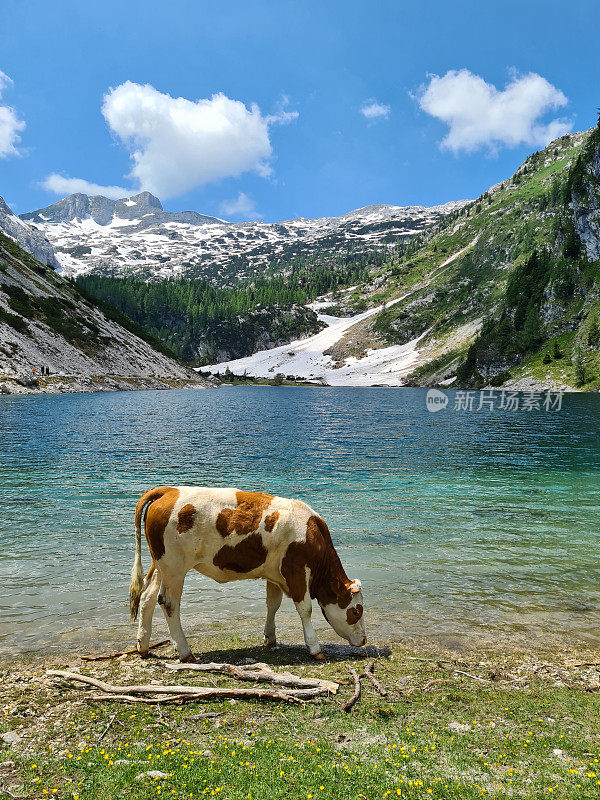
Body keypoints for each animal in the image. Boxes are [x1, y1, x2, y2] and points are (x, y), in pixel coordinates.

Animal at [127, 484, 366, 660]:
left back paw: (143, 646)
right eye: (356, 611)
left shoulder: (275, 573)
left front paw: (270, 637)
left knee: (147, 597)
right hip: (175, 567)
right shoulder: (296, 570)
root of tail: (168, 490)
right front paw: (315, 648)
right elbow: (305, 609)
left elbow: (273, 604)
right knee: (168, 602)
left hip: (161, 565)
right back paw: (185, 652)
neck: (311, 533)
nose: (364, 640)